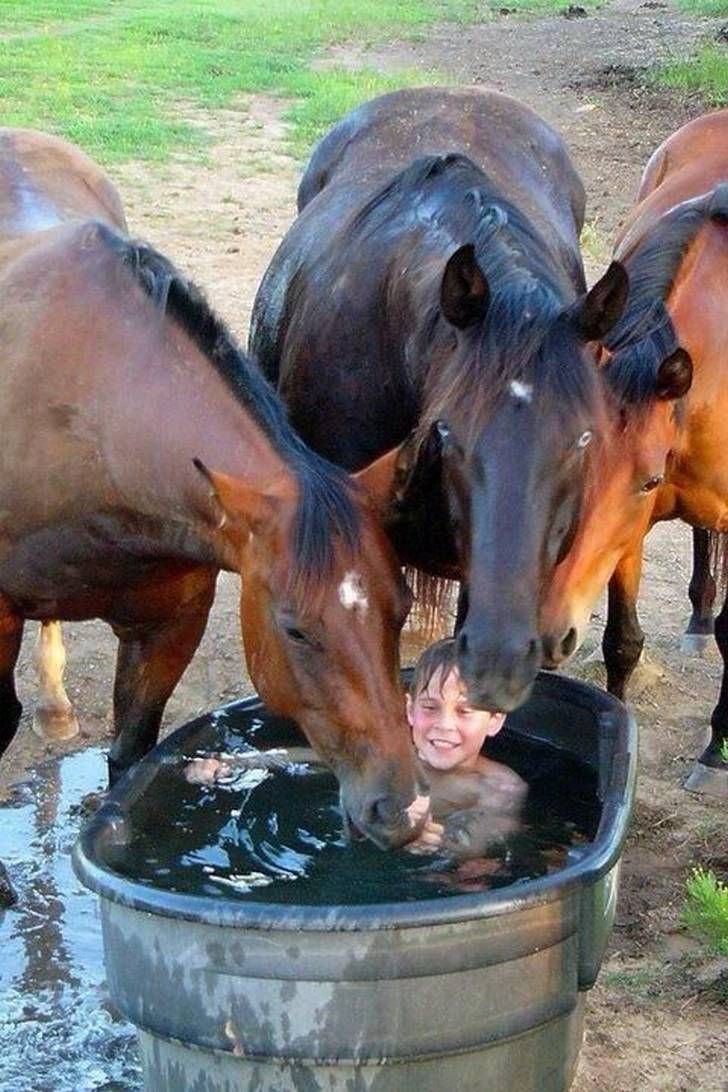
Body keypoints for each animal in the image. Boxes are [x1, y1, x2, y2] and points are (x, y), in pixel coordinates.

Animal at [541, 108, 728, 797]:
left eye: (646, 479)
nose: (550, 629)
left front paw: (715, 752)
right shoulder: (631, 531)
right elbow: (622, 640)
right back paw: (699, 619)